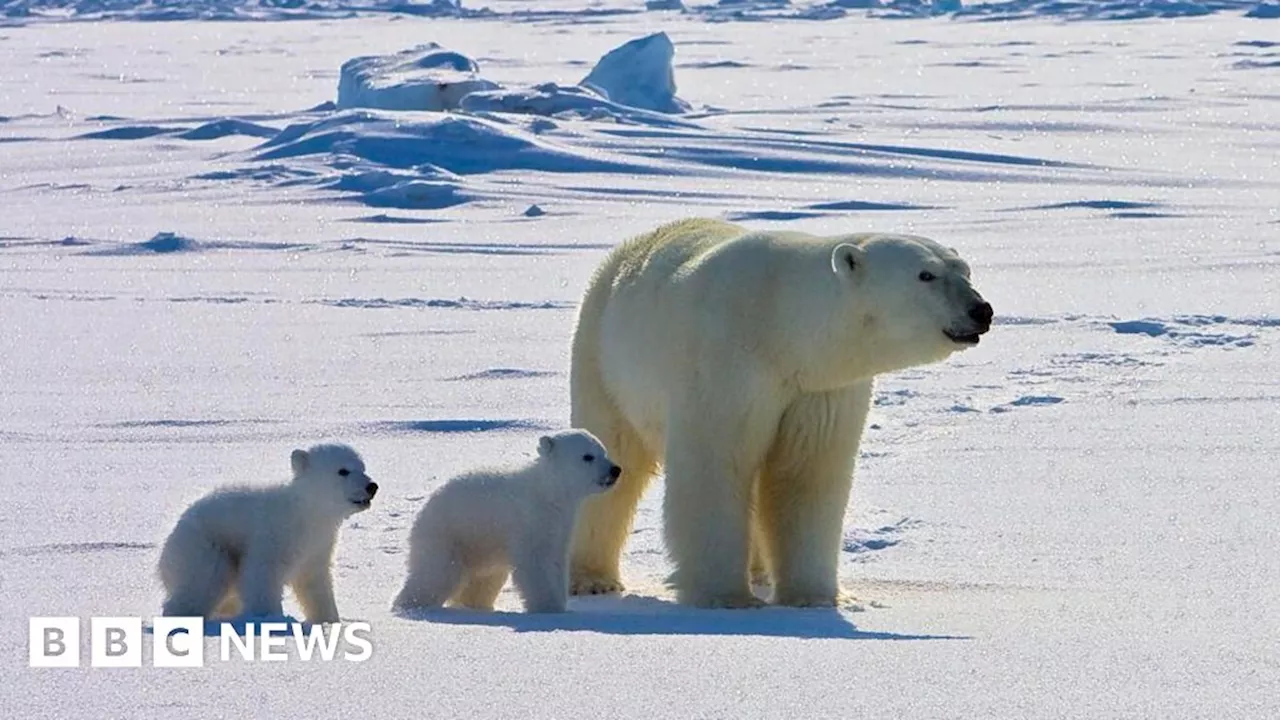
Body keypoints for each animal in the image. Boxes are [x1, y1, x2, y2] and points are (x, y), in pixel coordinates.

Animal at [565, 217, 993, 604]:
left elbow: (806, 474)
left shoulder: (820, 389)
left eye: (965, 270)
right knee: (614, 455)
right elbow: (716, 467)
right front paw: (725, 596)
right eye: (926, 274)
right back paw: (591, 578)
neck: (781, 327)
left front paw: (814, 597)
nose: (982, 310)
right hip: (603, 359)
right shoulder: (725, 367)